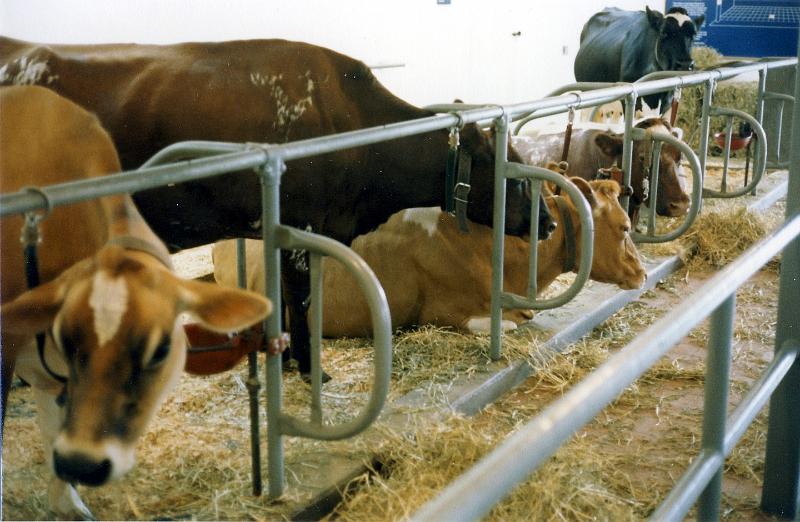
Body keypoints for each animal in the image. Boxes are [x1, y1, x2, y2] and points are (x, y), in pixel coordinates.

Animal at [0, 36, 554, 379]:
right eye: (513, 169)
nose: (548, 223)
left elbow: (288, 302)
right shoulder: (301, 228)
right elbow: (302, 303)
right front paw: (313, 373)